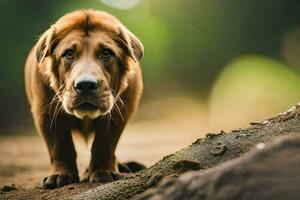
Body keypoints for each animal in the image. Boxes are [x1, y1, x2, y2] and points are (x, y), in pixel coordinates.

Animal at [24, 9, 144, 188]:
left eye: (106, 53)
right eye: (69, 54)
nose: (86, 85)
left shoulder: (119, 113)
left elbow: (104, 145)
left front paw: (103, 172)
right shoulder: (46, 114)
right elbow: (60, 147)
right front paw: (60, 176)